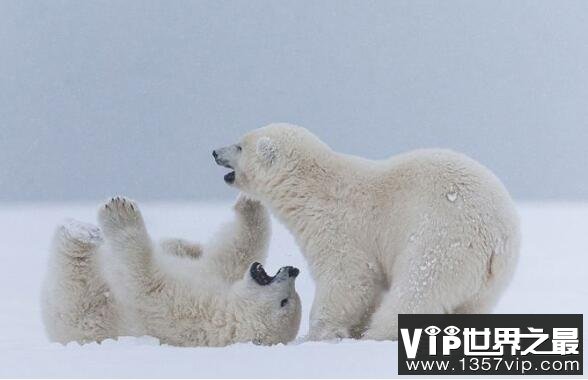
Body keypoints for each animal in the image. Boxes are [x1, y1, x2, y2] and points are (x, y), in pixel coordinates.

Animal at [40, 196, 304, 348]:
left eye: (285, 301)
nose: (293, 270)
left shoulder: (186, 312)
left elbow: (145, 280)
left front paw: (120, 211)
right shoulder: (218, 279)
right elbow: (235, 252)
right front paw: (249, 201)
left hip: (77, 305)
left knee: (73, 269)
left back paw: (82, 232)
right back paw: (184, 245)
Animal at [211, 123, 520, 340]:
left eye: (239, 146)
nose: (214, 152)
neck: (310, 189)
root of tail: (498, 237)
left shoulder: (338, 226)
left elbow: (348, 279)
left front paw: (319, 333)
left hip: (442, 241)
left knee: (417, 290)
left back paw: (377, 334)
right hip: (489, 281)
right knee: (471, 308)